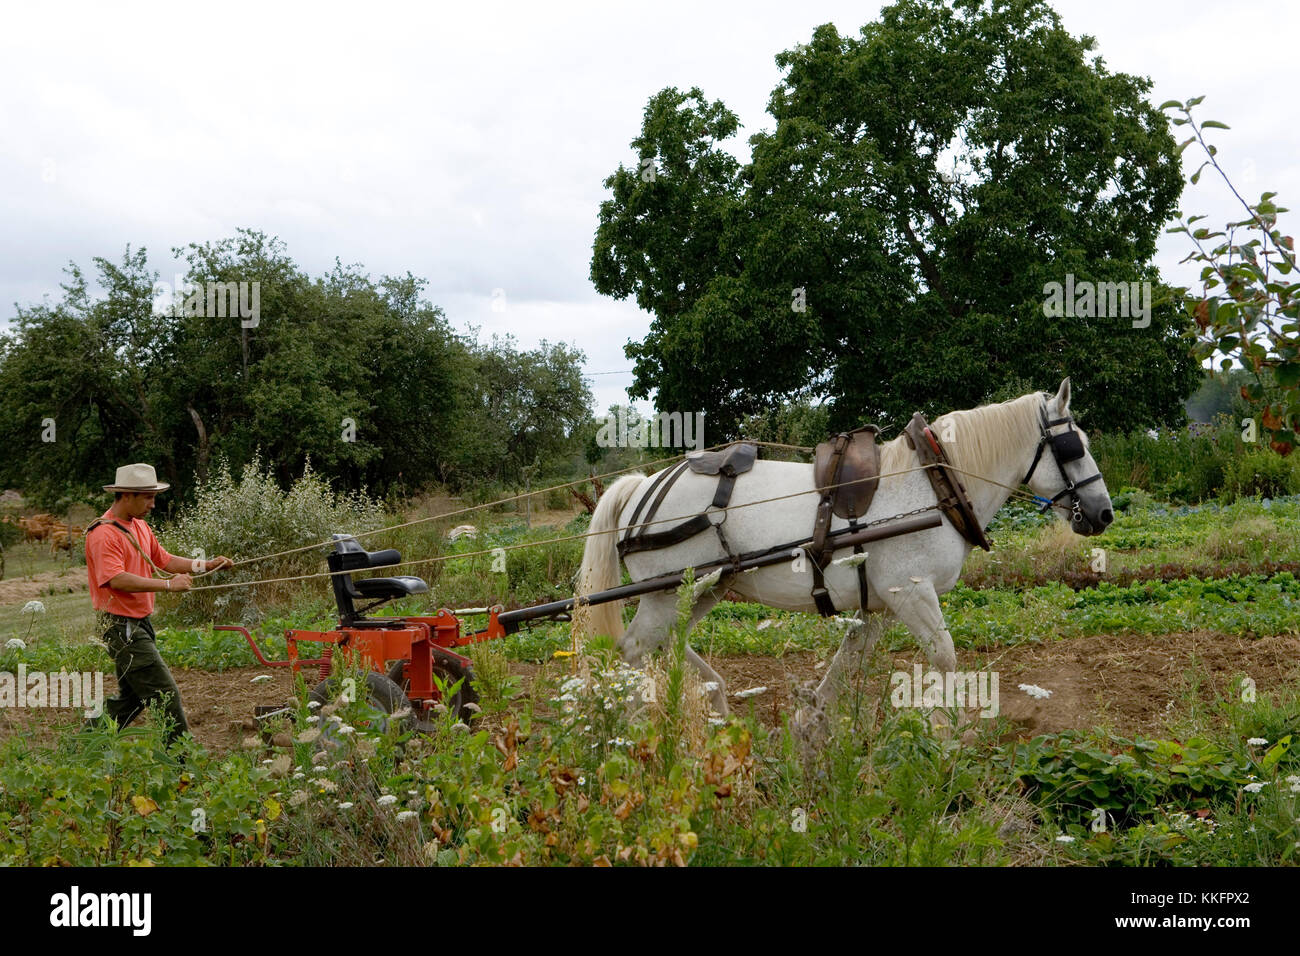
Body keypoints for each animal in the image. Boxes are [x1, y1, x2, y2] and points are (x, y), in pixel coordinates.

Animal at [582, 379, 1118, 738]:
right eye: (1073, 446)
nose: (1104, 512)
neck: (932, 488)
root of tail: (640, 486)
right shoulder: (912, 593)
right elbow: (944, 656)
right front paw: (950, 733)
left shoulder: (879, 606)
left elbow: (846, 664)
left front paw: (809, 720)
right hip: (666, 594)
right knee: (633, 650)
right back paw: (635, 731)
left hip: (705, 588)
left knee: (670, 645)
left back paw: (716, 705)